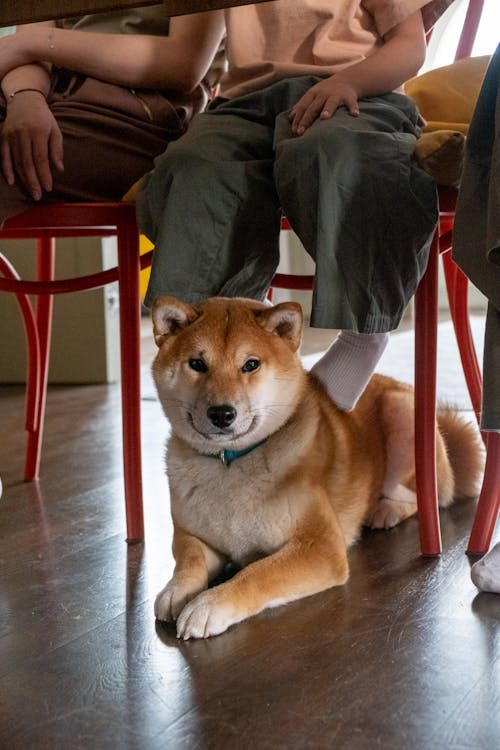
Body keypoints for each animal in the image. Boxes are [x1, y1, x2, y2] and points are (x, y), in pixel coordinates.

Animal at [151, 296, 484, 640]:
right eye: (197, 364)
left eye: (251, 364)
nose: (221, 413)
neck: (230, 462)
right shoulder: (192, 534)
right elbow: (189, 559)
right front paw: (176, 589)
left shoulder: (320, 547)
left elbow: (258, 573)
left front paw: (209, 604)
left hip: (401, 416)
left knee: (424, 497)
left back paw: (385, 510)